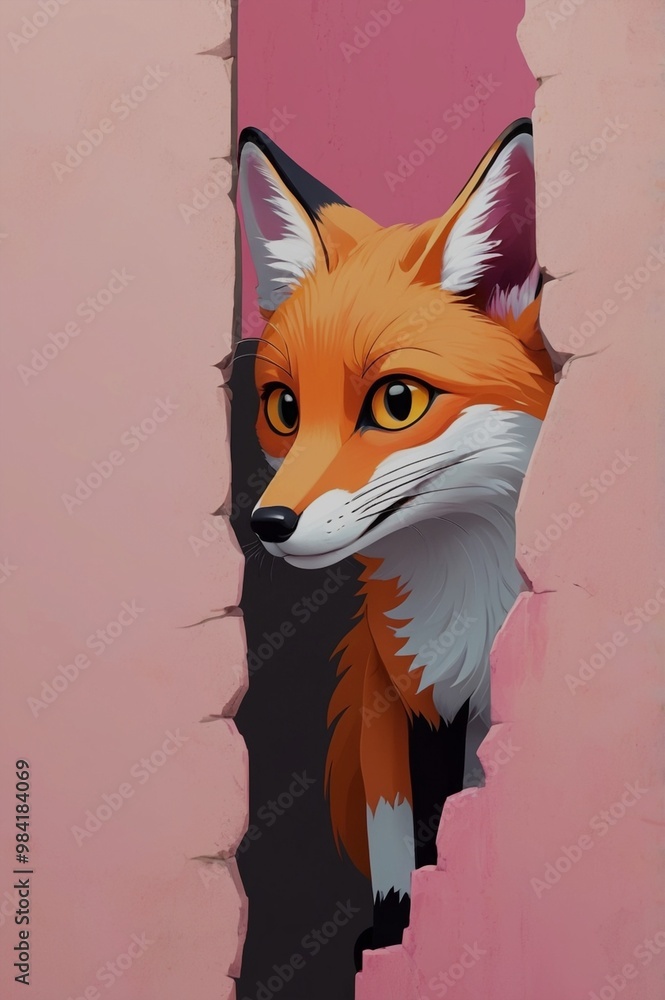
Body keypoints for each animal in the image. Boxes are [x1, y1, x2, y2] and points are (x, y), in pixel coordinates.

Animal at [237, 118, 555, 963]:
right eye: (283, 408)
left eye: (397, 401)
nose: (266, 524)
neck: (457, 602)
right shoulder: (387, 695)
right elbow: (394, 851)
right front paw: (390, 933)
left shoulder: (481, 710)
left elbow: (459, 828)